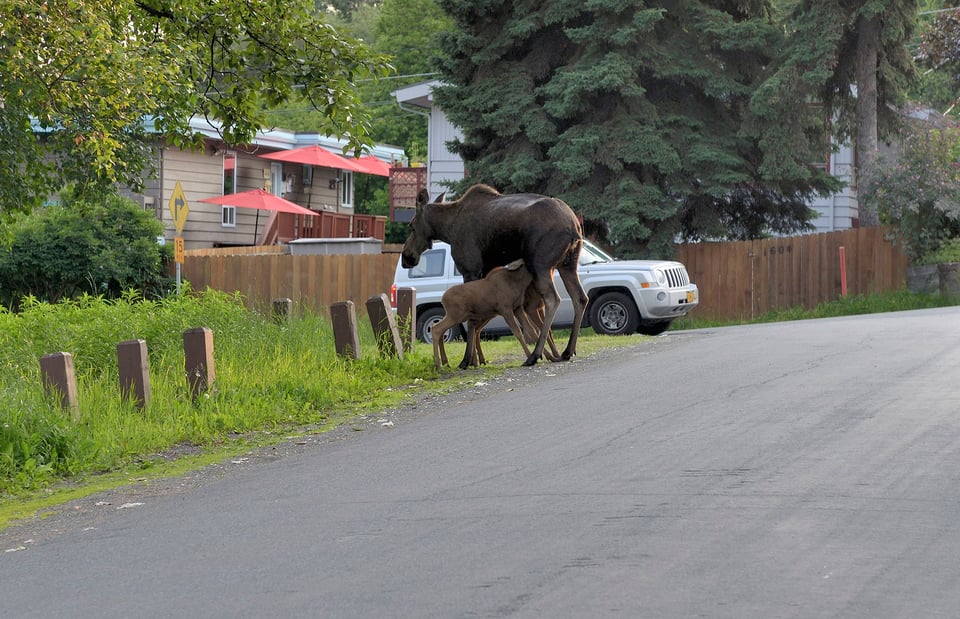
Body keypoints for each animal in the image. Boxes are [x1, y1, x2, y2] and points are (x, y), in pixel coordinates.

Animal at [398, 185, 584, 368]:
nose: (406, 256)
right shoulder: (485, 270)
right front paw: (475, 360)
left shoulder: (470, 269)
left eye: (411, 225)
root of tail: (574, 226)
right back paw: (567, 351)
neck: (448, 228)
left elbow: (471, 321)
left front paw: (468, 360)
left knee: (553, 299)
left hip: (540, 265)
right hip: (567, 265)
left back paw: (535, 355)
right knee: (580, 298)